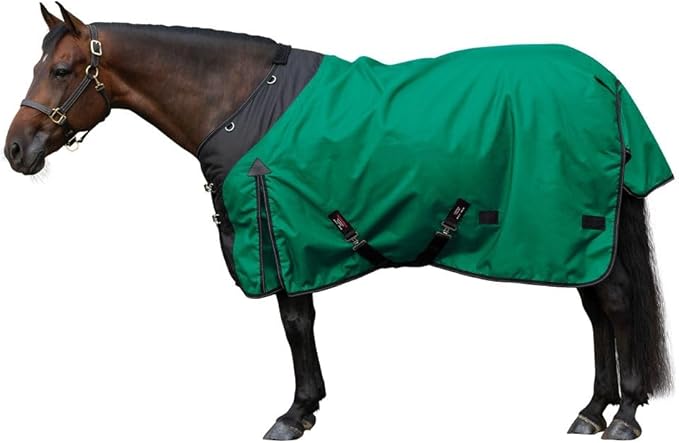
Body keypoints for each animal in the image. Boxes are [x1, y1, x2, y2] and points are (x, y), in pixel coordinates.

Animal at [3, 4, 673, 440]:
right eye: (37, 67)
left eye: (61, 71)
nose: (15, 150)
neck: (242, 101)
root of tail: (604, 80)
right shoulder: (292, 235)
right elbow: (301, 325)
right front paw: (308, 407)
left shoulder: (281, 235)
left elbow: (296, 324)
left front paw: (295, 413)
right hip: (577, 242)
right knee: (596, 310)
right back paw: (592, 409)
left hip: (579, 226)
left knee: (615, 303)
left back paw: (623, 416)